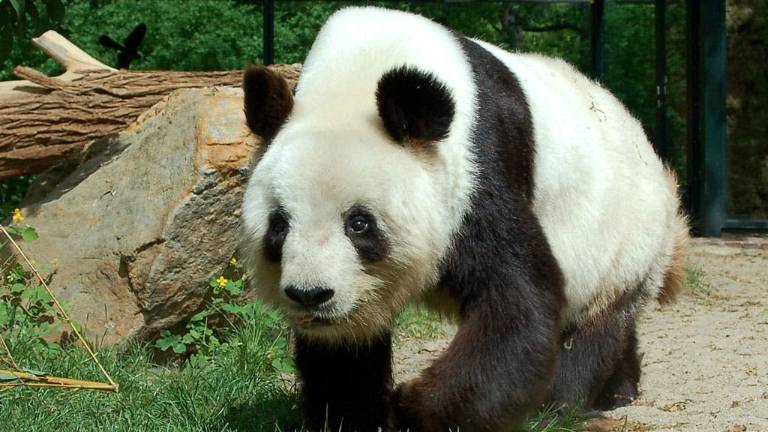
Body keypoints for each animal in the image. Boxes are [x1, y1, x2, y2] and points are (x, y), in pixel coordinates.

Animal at [239, 6, 688, 432]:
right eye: (279, 225)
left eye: (359, 223)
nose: (310, 294)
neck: (358, 72)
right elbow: (344, 350)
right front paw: (359, 417)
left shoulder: (477, 168)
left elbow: (518, 300)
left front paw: (418, 408)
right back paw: (619, 388)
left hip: (624, 234)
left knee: (595, 325)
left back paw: (560, 405)